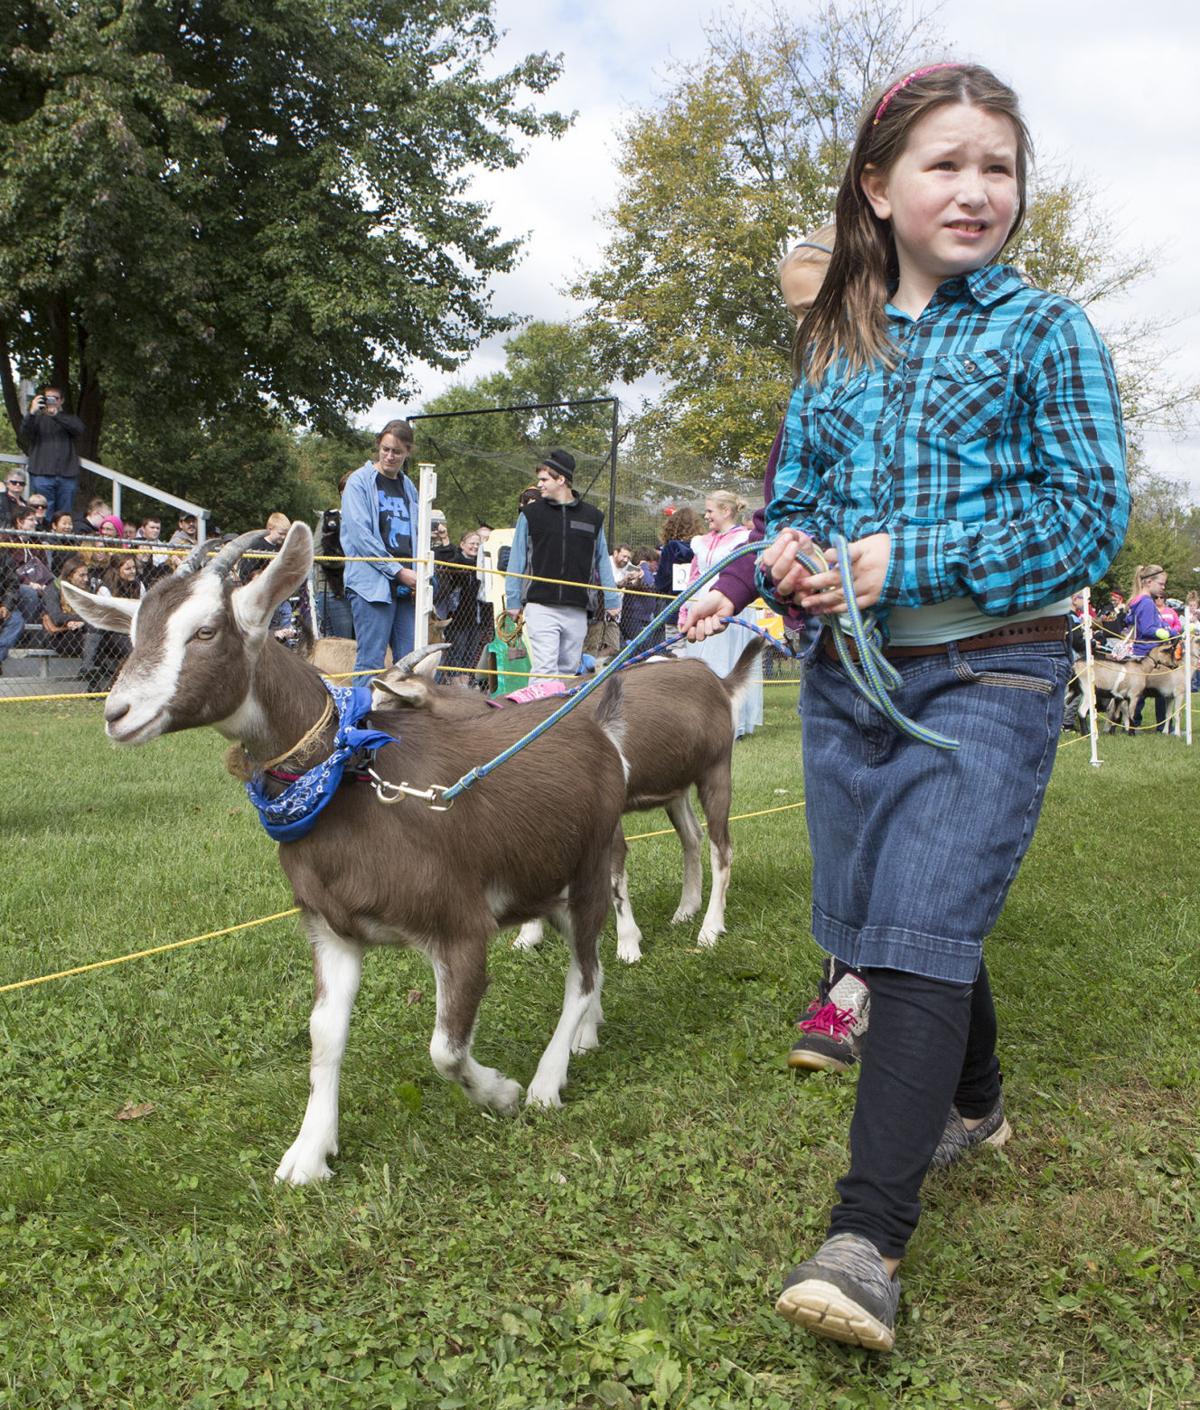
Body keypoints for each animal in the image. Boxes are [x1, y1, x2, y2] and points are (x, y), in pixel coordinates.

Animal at [63, 525, 629, 1184]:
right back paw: (585, 1037)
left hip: (590, 868)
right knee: (590, 968)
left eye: (205, 630)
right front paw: (309, 1153)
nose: (117, 714)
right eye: (133, 635)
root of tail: (596, 730)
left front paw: (502, 1093)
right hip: (548, 883)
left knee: (583, 974)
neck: (343, 776)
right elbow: (324, 1034)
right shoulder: (330, 926)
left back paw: (545, 1082)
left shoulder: (461, 927)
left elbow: (445, 1048)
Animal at [373, 641, 765, 962]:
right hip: (676, 784)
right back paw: (685, 910)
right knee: (691, 837)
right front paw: (527, 938)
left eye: (380, 705)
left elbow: (615, 873)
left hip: (716, 768)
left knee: (722, 847)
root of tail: (719, 681)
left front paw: (629, 946)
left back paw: (710, 930)